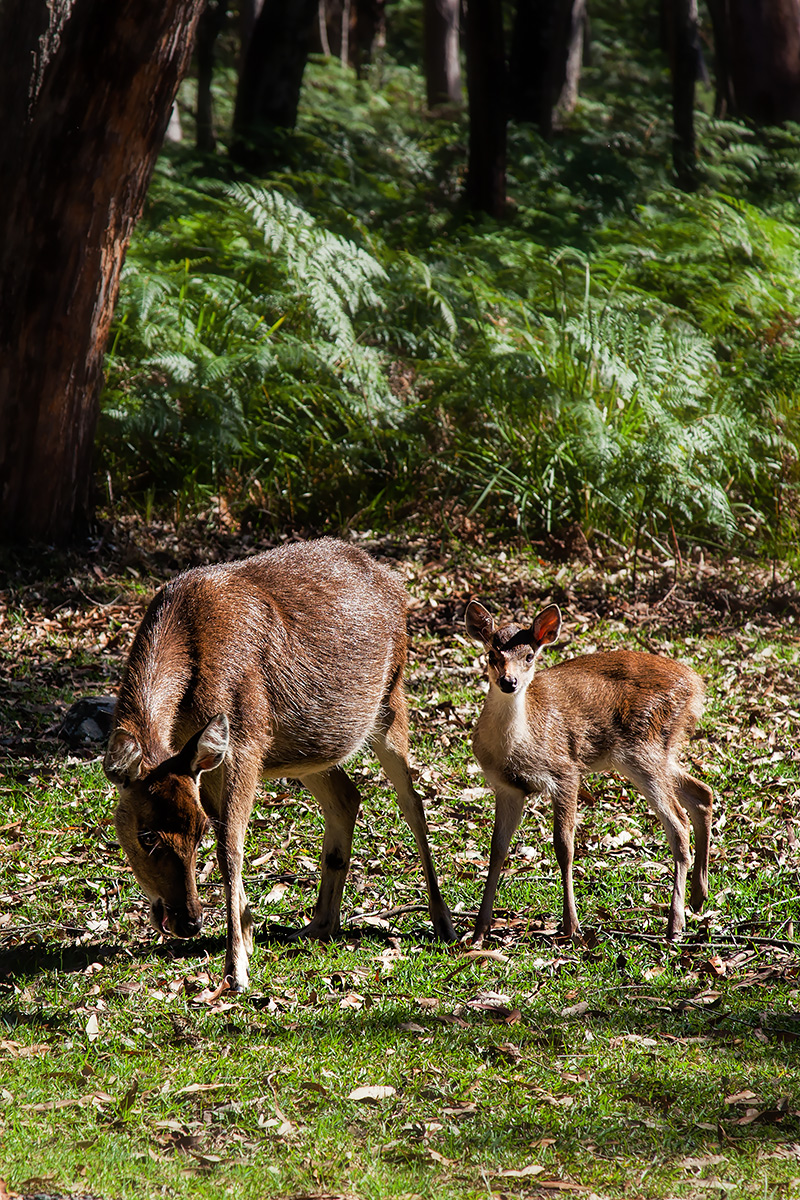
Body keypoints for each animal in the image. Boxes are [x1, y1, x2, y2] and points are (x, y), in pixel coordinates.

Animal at [104, 540, 455, 988]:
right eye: (145, 835)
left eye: (197, 833)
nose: (190, 922)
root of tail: (394, 580)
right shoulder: (204, 762)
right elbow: (229, 837)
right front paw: (249, 935)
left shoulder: (247, 739)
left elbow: (230, 847)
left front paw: (236, 967)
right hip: (313, 751)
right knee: (347, 796)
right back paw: (320, 924)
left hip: (391, 699)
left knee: (413, 802)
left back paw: (444, 923)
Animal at [462, 600, 714, 945]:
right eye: (491, 654)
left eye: (529, 656)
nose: (508, 682)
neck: (519, 744)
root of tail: (697, 685)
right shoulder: (507, 787)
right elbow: (497, 848)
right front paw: (479, 931)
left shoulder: (565, 771)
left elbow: (564, 846)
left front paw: (571, 925)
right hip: (656, 751)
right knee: (701, 792)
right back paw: (699, 897)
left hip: (644, 746)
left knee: (678, 822)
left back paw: (675, 922)